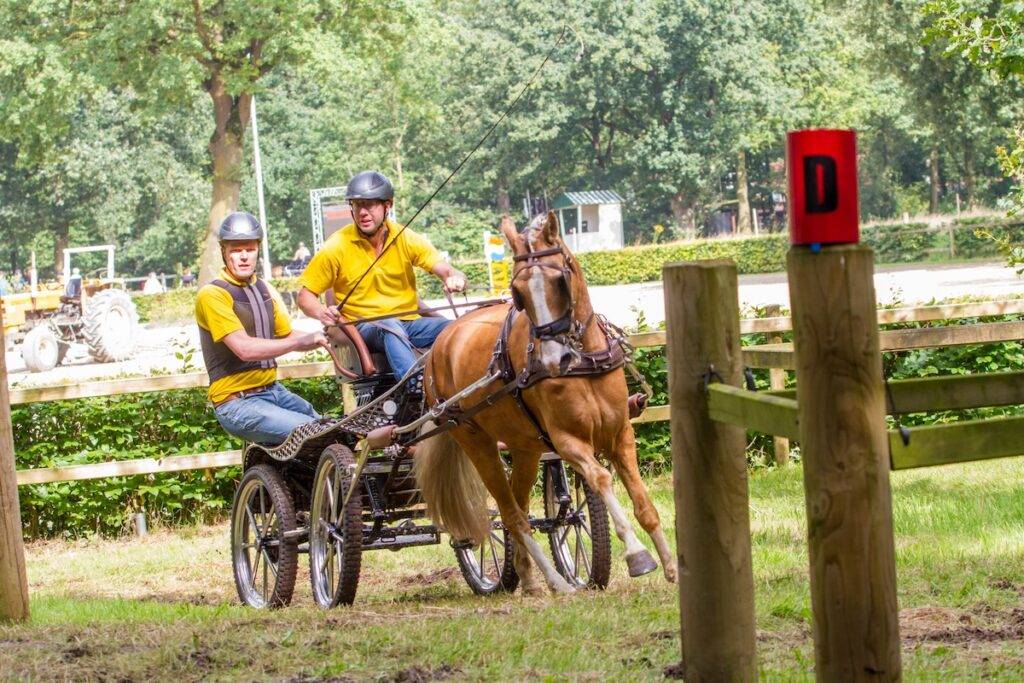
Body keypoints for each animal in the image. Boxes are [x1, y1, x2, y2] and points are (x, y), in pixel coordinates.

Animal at [412, 211, 676, 594]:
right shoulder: (567, 442)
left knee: (518, 507)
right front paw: (637, 555)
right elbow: (601, 479)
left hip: (525, 448)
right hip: (476, 443)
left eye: (559, 280)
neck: (584, 363)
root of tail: (438, 348)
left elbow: (643, 504)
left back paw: (529, 578)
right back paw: (556, 581)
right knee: (511, 514)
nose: (554, 359)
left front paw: (672, 566)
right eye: (518, 291)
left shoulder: (620, 434)